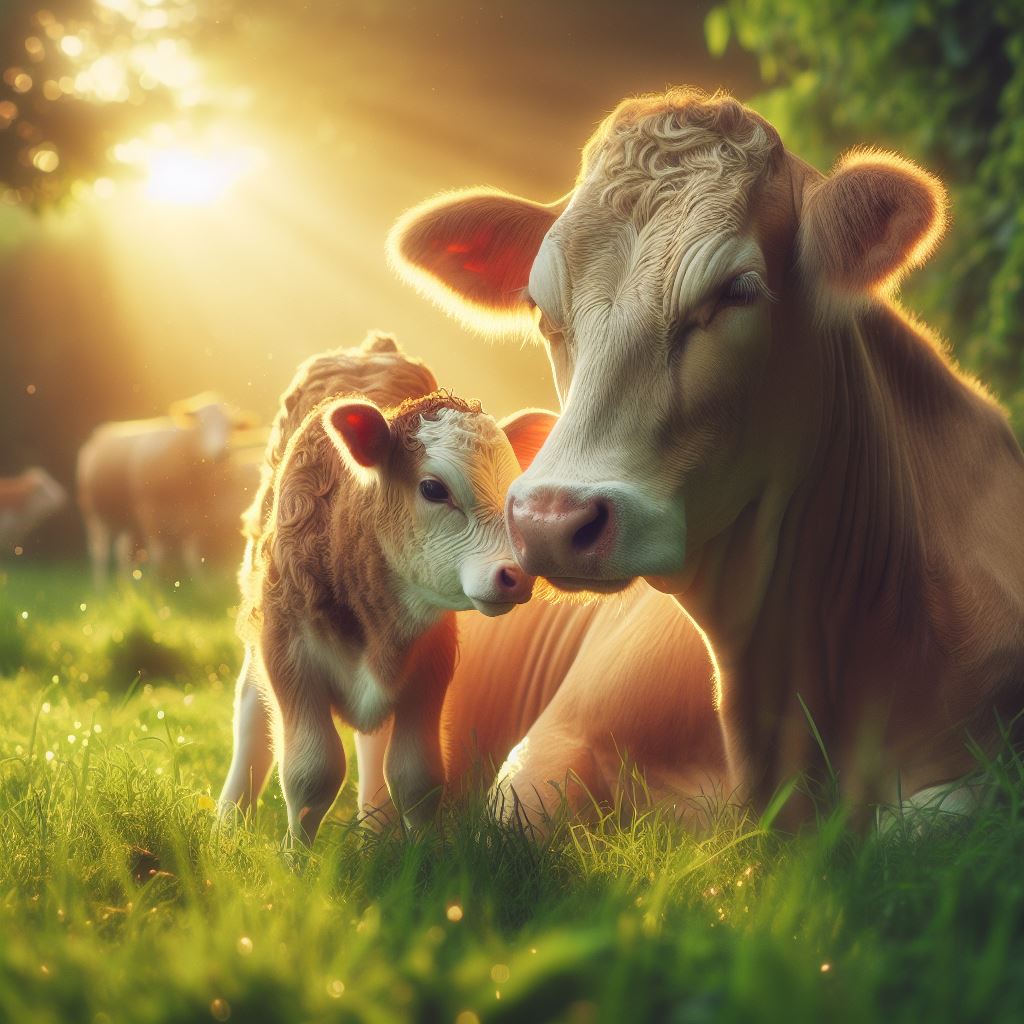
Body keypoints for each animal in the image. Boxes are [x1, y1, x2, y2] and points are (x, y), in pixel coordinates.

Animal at [217, 334, 540, 845]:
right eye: (433, 488)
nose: (516, 574)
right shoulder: (288, 653)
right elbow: (311, 773)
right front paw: (294, 860)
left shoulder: (430, 664)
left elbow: (417, 778)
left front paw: (421, 856)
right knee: (250, 717)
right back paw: (227, 824)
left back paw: (375, 828)